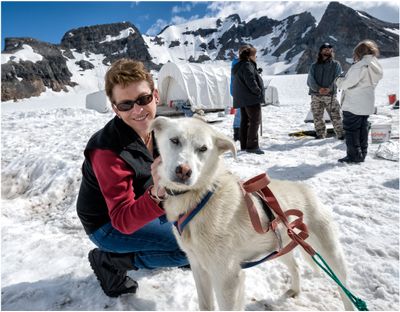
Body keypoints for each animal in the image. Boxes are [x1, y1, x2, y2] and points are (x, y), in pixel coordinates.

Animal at [150, 116, 354, 310]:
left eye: (203, 148)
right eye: (174, 140)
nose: (184, 171)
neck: (200, 197)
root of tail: (307, 190)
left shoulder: (227, 277)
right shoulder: (199, 267)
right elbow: (205, 305)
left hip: (330, 253)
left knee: (344, 287)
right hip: (279, 247)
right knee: (295, 267)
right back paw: (295, 289)